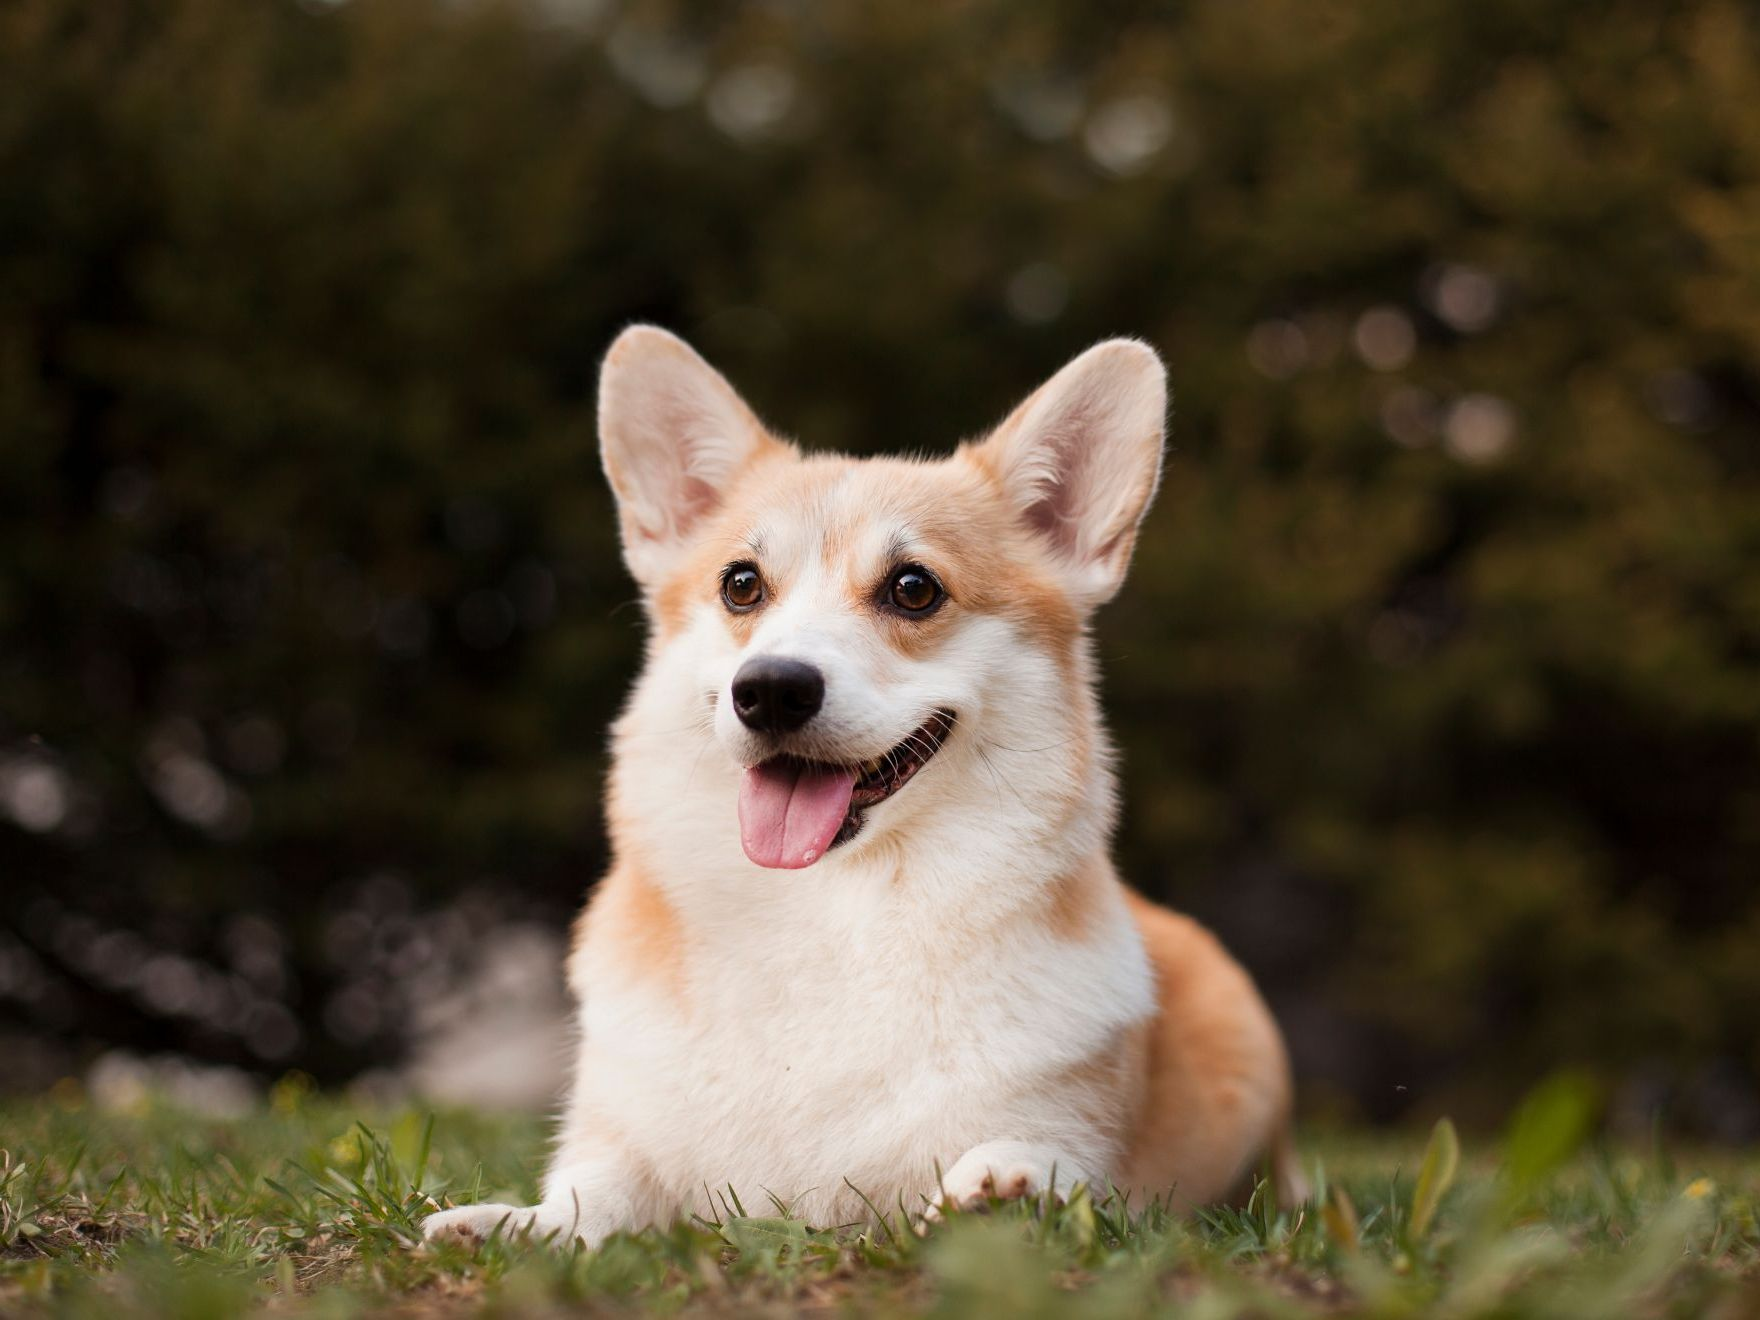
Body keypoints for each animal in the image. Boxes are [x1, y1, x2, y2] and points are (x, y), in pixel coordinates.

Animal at [422, 330, 1309, 1253]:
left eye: (913, 588)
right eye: (741, 583)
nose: (771, 690)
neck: (827, 910)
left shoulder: (1070, 1130)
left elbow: (1036, 1160)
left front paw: (1003, 1190)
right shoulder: (623, 1142)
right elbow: (595, 1197)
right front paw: (513, 1224)